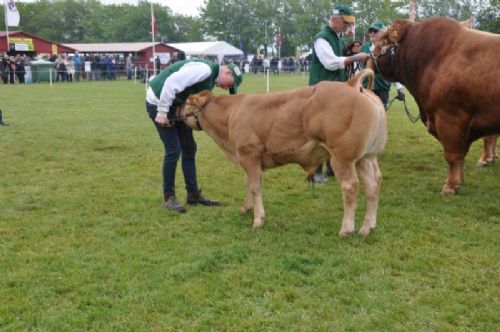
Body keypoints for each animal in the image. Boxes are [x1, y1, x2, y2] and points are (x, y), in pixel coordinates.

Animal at [180, 69, 386, 236]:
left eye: (186, 102)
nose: (175, 111)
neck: (232, 113)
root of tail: (350, 84)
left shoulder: (249, 155)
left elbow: (254, 186)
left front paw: (258, 219)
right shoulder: (249, 160)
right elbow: (248, 183)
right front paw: (246, 208)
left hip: (342, 158)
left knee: (350, 187)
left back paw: (346, 229)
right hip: (366, 157)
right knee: (373, 184)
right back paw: (368, 227)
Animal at [372, 17, 500, 195]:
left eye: (384, 41)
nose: (369, 57)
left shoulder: (450, 119)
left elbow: (453, 155)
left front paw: (451, 186)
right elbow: (464, 152)